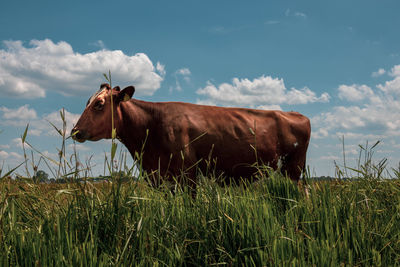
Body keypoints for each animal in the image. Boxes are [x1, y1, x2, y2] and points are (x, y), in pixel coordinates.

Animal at [71, 84, 310, 191]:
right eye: (86, 102)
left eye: (99, 104)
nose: (75, 131)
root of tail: (297, 114)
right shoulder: (160, 178)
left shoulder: (187, 176)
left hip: (293, 170)